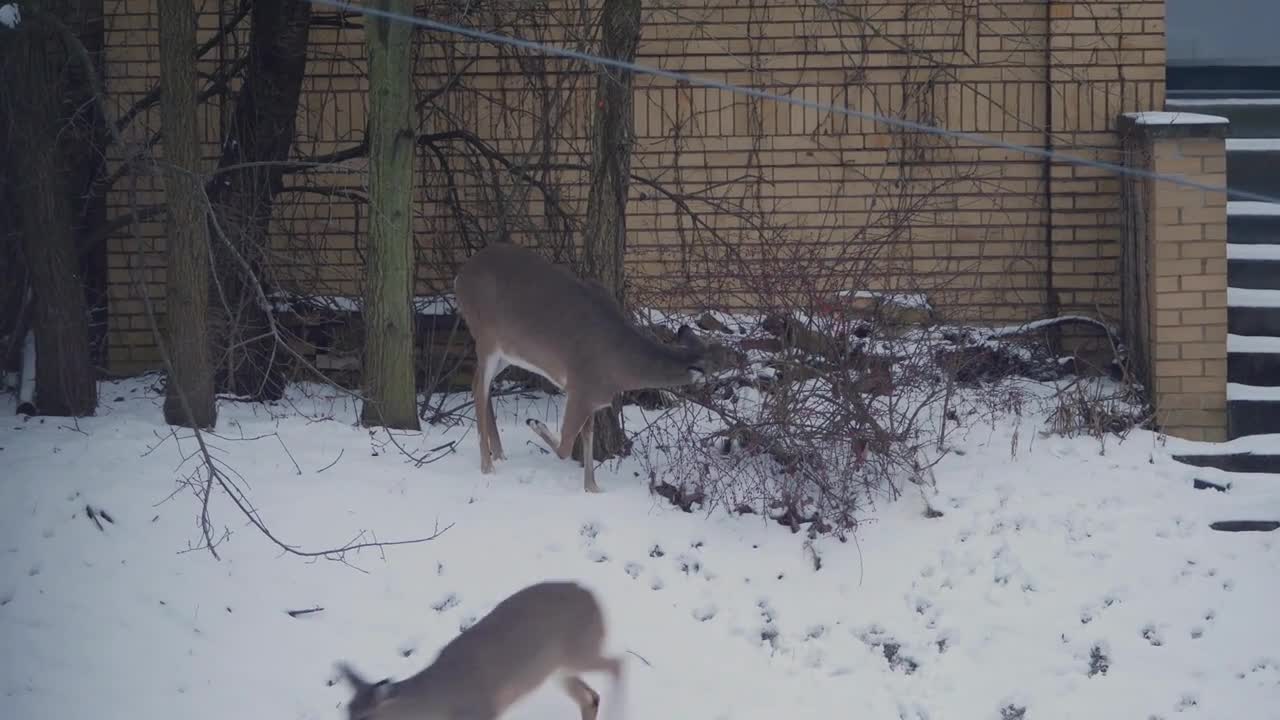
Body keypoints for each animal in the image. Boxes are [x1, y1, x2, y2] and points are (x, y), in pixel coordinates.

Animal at [335, 576, 624, 717]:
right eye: (346, 712)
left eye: (366, 718)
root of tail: (593, 596)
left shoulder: (482, 711)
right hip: (555, 668)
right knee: (590, 697)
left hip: (581, 648)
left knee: (618, 663)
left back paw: (619, 710)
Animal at [453, 243, 721, 489]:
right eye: (710, 372)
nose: (714, 396)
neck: (623, 366)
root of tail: (460, 275)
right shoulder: (580, 388)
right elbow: (564, 448)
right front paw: (535, 424)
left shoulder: (592, 397)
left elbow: (588, 439)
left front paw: (592, 488)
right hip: (486, 336)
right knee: (479, 388)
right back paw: (487, 466)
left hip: (506, 353)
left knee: (479, 383)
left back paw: (498, 453)